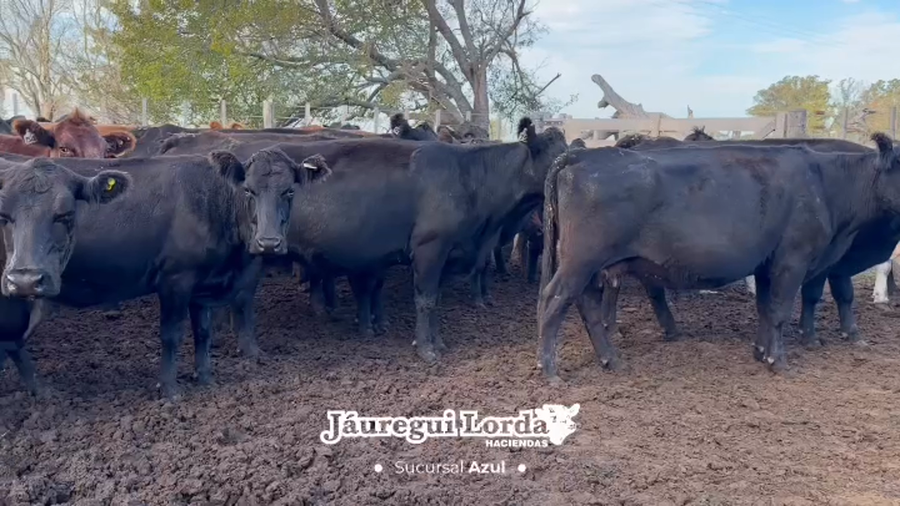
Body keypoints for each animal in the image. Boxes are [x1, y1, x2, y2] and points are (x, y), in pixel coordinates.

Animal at [0, 151, 330, 398]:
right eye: (249, 190)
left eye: (289, 191)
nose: (269, 243)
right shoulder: (176, 279)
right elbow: (172, 335)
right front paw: (170, 389)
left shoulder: (201, 286)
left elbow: (203, 333)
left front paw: (205, 377)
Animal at [537, 136, 900, 383]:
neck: (826, 184)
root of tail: (583, 155)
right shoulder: (793, 259)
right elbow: (780, 311)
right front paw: (778, 362)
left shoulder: (767, 262)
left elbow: (765, 309)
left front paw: (761, 352)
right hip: (580, 261)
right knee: (552, 301)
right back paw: (549, 369)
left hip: (591, 267)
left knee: (587, 306)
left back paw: (611, 360)